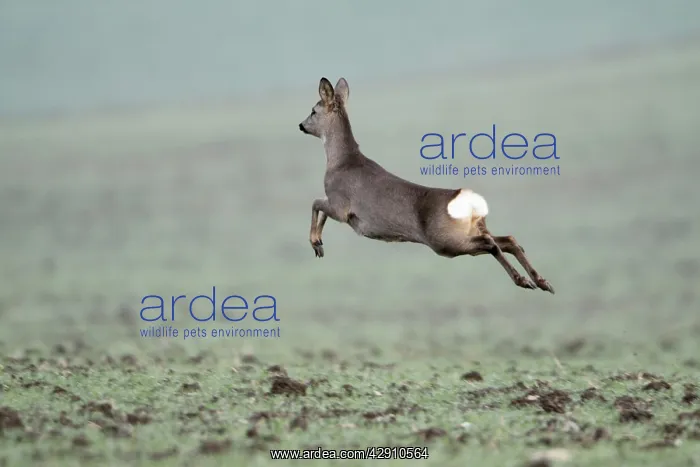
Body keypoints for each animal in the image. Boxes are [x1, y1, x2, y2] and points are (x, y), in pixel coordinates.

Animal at [298, 77, 555, 294]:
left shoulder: (341, 206)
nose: (301, 125)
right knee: (509, 240)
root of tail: (471, 203)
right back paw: (542, 282)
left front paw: (316, 243)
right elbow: (320, 209)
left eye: (313, 110)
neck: (340, 161)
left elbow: (315, 203)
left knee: (492, 244)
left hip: (445, 241)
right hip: (472, 230)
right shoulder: (337, 206)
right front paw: (319, 244)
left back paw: (525, 281)